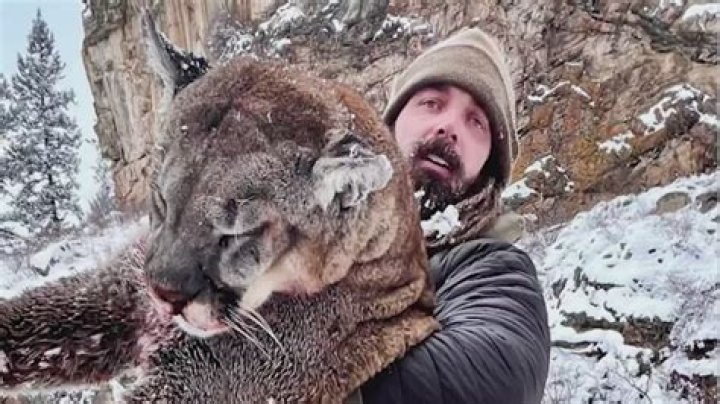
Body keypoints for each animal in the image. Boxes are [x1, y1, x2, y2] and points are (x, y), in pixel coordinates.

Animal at [0, 9, 437, 404]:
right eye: (161, 201)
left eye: (237, 233)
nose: (165, 294)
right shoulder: (119, 289)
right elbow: (31, 317)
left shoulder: (196, 384)